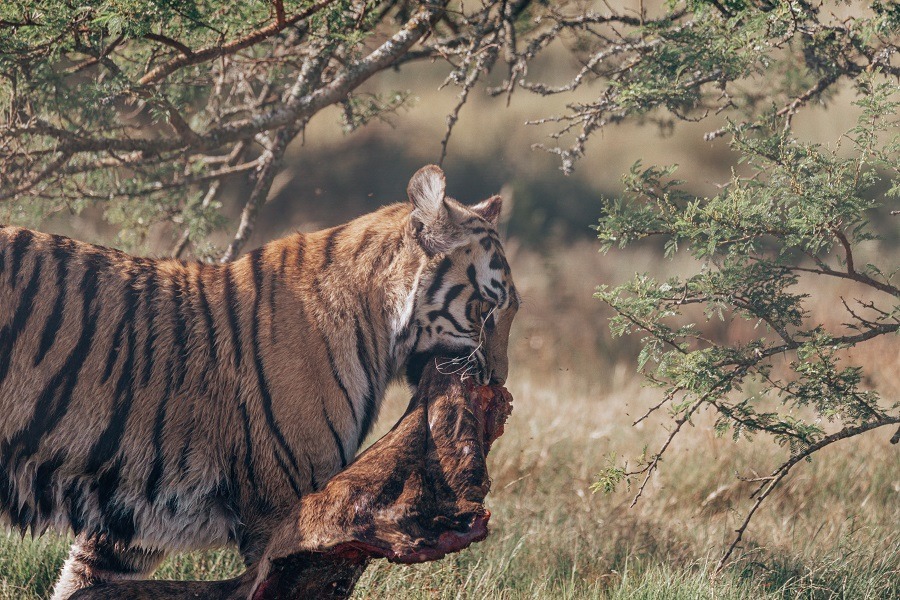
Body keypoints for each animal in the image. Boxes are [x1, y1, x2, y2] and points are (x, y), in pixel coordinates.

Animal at [0, 165, 520, 600]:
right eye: (488, 309)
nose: (499, 379)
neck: (378, 328)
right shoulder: (280, 512)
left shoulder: (132, 518)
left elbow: (81, 582)